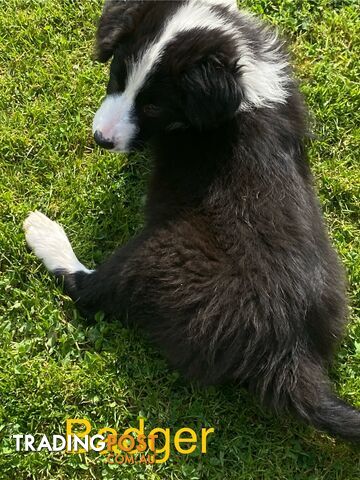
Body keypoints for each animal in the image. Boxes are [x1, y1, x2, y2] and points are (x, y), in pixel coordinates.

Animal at [23, 0, 358, 440]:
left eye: (153, 106)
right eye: (117, 77)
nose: (101, 140)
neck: (240, 64)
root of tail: (290, 350)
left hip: (158, 256)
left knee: (90, 290)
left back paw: (43, 232)